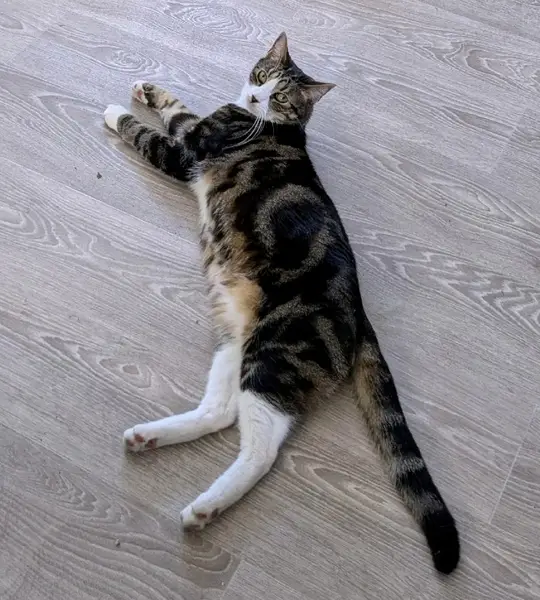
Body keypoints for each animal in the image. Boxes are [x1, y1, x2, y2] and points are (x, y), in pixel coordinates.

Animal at [104, 32, 460, 574]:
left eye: (282, 97)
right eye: (261, 76)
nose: (256, 97)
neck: (263, 123)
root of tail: (360, 313)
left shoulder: (188, 151)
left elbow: (152, 134)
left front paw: (114, 112)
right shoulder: (200, 125)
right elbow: (178, 108)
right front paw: (148, 89)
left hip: (275, 354)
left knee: (263, 446)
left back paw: (204, 508)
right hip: (235, 341)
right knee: (220, 412)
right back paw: (150, 437)